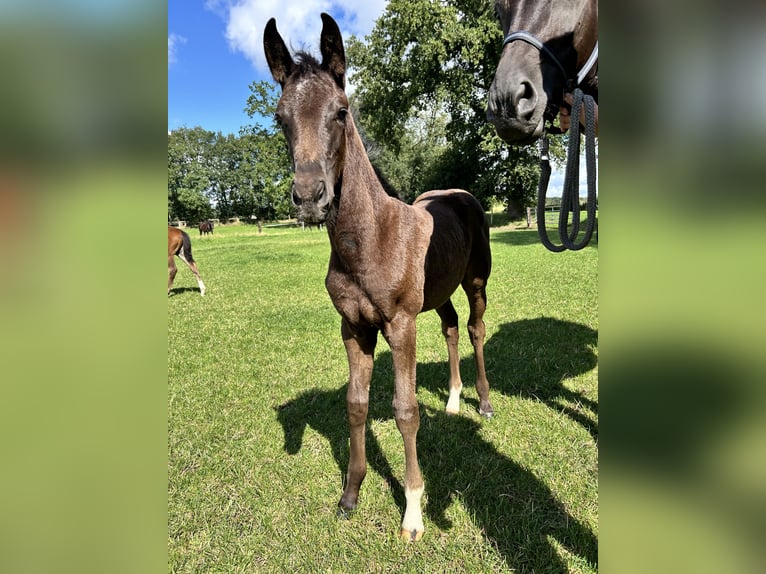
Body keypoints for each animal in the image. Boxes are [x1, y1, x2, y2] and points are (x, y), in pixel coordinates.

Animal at [264, 13, 492, 544]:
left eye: (341, 111)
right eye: (281, 117)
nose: (310, 197)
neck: (369, 240)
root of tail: (460, 195)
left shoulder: (400, 325)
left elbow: (405, 411)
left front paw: (412, 513)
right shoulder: (354, 328)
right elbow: (356, 404)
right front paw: (350, 495)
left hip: (475, 282)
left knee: (474, 328)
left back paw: (484, 403)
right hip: (439, 291)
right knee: (452, 327)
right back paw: (453, 401)